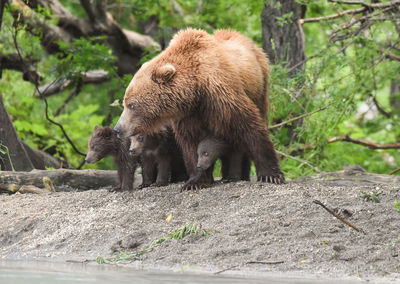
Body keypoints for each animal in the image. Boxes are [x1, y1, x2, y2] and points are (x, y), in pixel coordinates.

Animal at [114, 28, 284, 186]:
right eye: (125, 103)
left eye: (131, 105)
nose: (117, 128)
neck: (195, 90)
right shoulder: (188, 115)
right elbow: (191, 143)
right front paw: (196, 180)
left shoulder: (221, 95)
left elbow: (250, 128)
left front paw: (271, 175)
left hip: (261, 85)